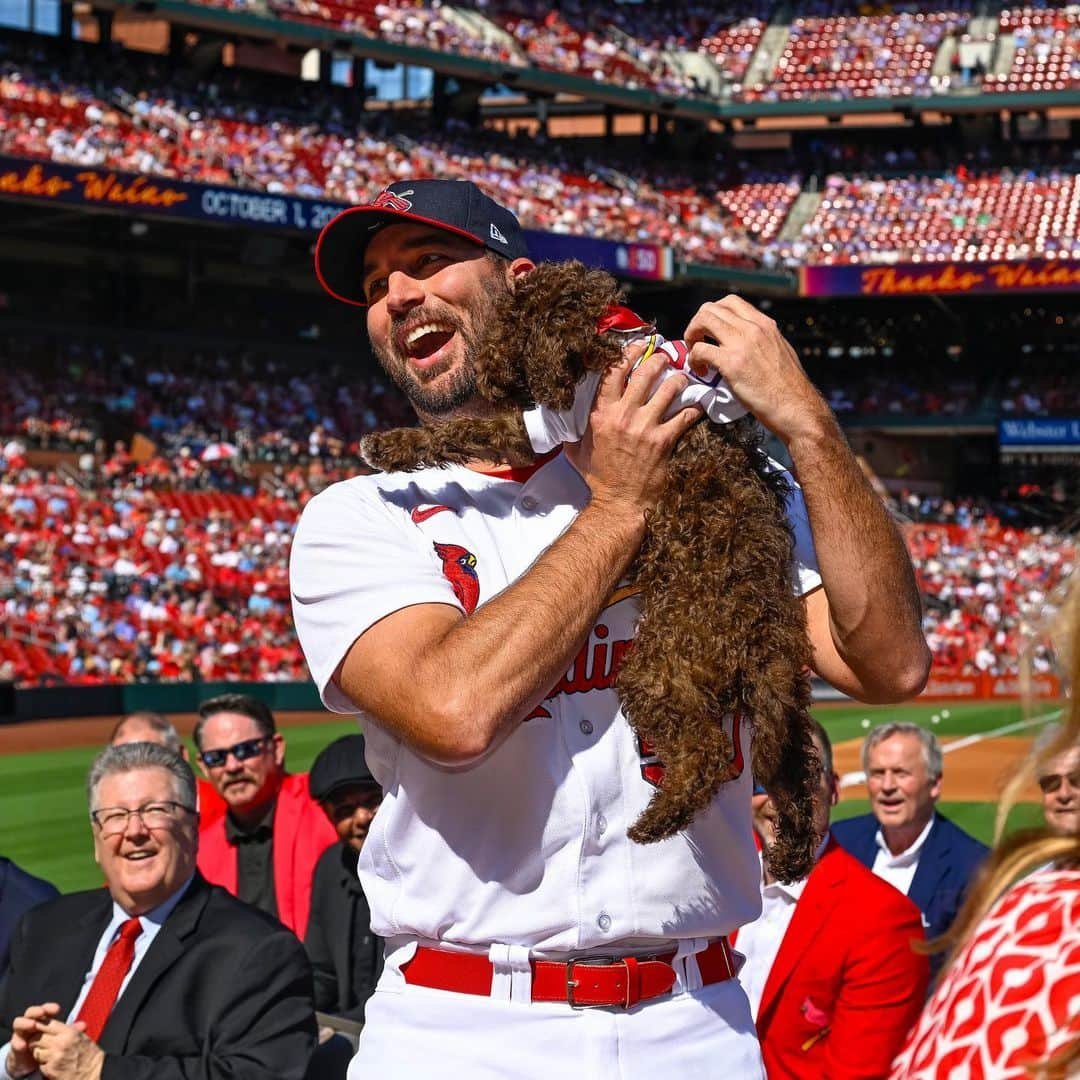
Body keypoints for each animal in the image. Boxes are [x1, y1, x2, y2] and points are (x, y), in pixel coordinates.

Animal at [362, 263, 816, 885]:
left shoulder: (549, 421)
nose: (488, 375)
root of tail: (765, 626)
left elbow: (463, 432)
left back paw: (659, 820)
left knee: (706, 752)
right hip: (776, 699)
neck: (604, 335)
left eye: (508, 332)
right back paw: (789, 852)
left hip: (659, 666)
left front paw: (389, 444)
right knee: (793, 772)